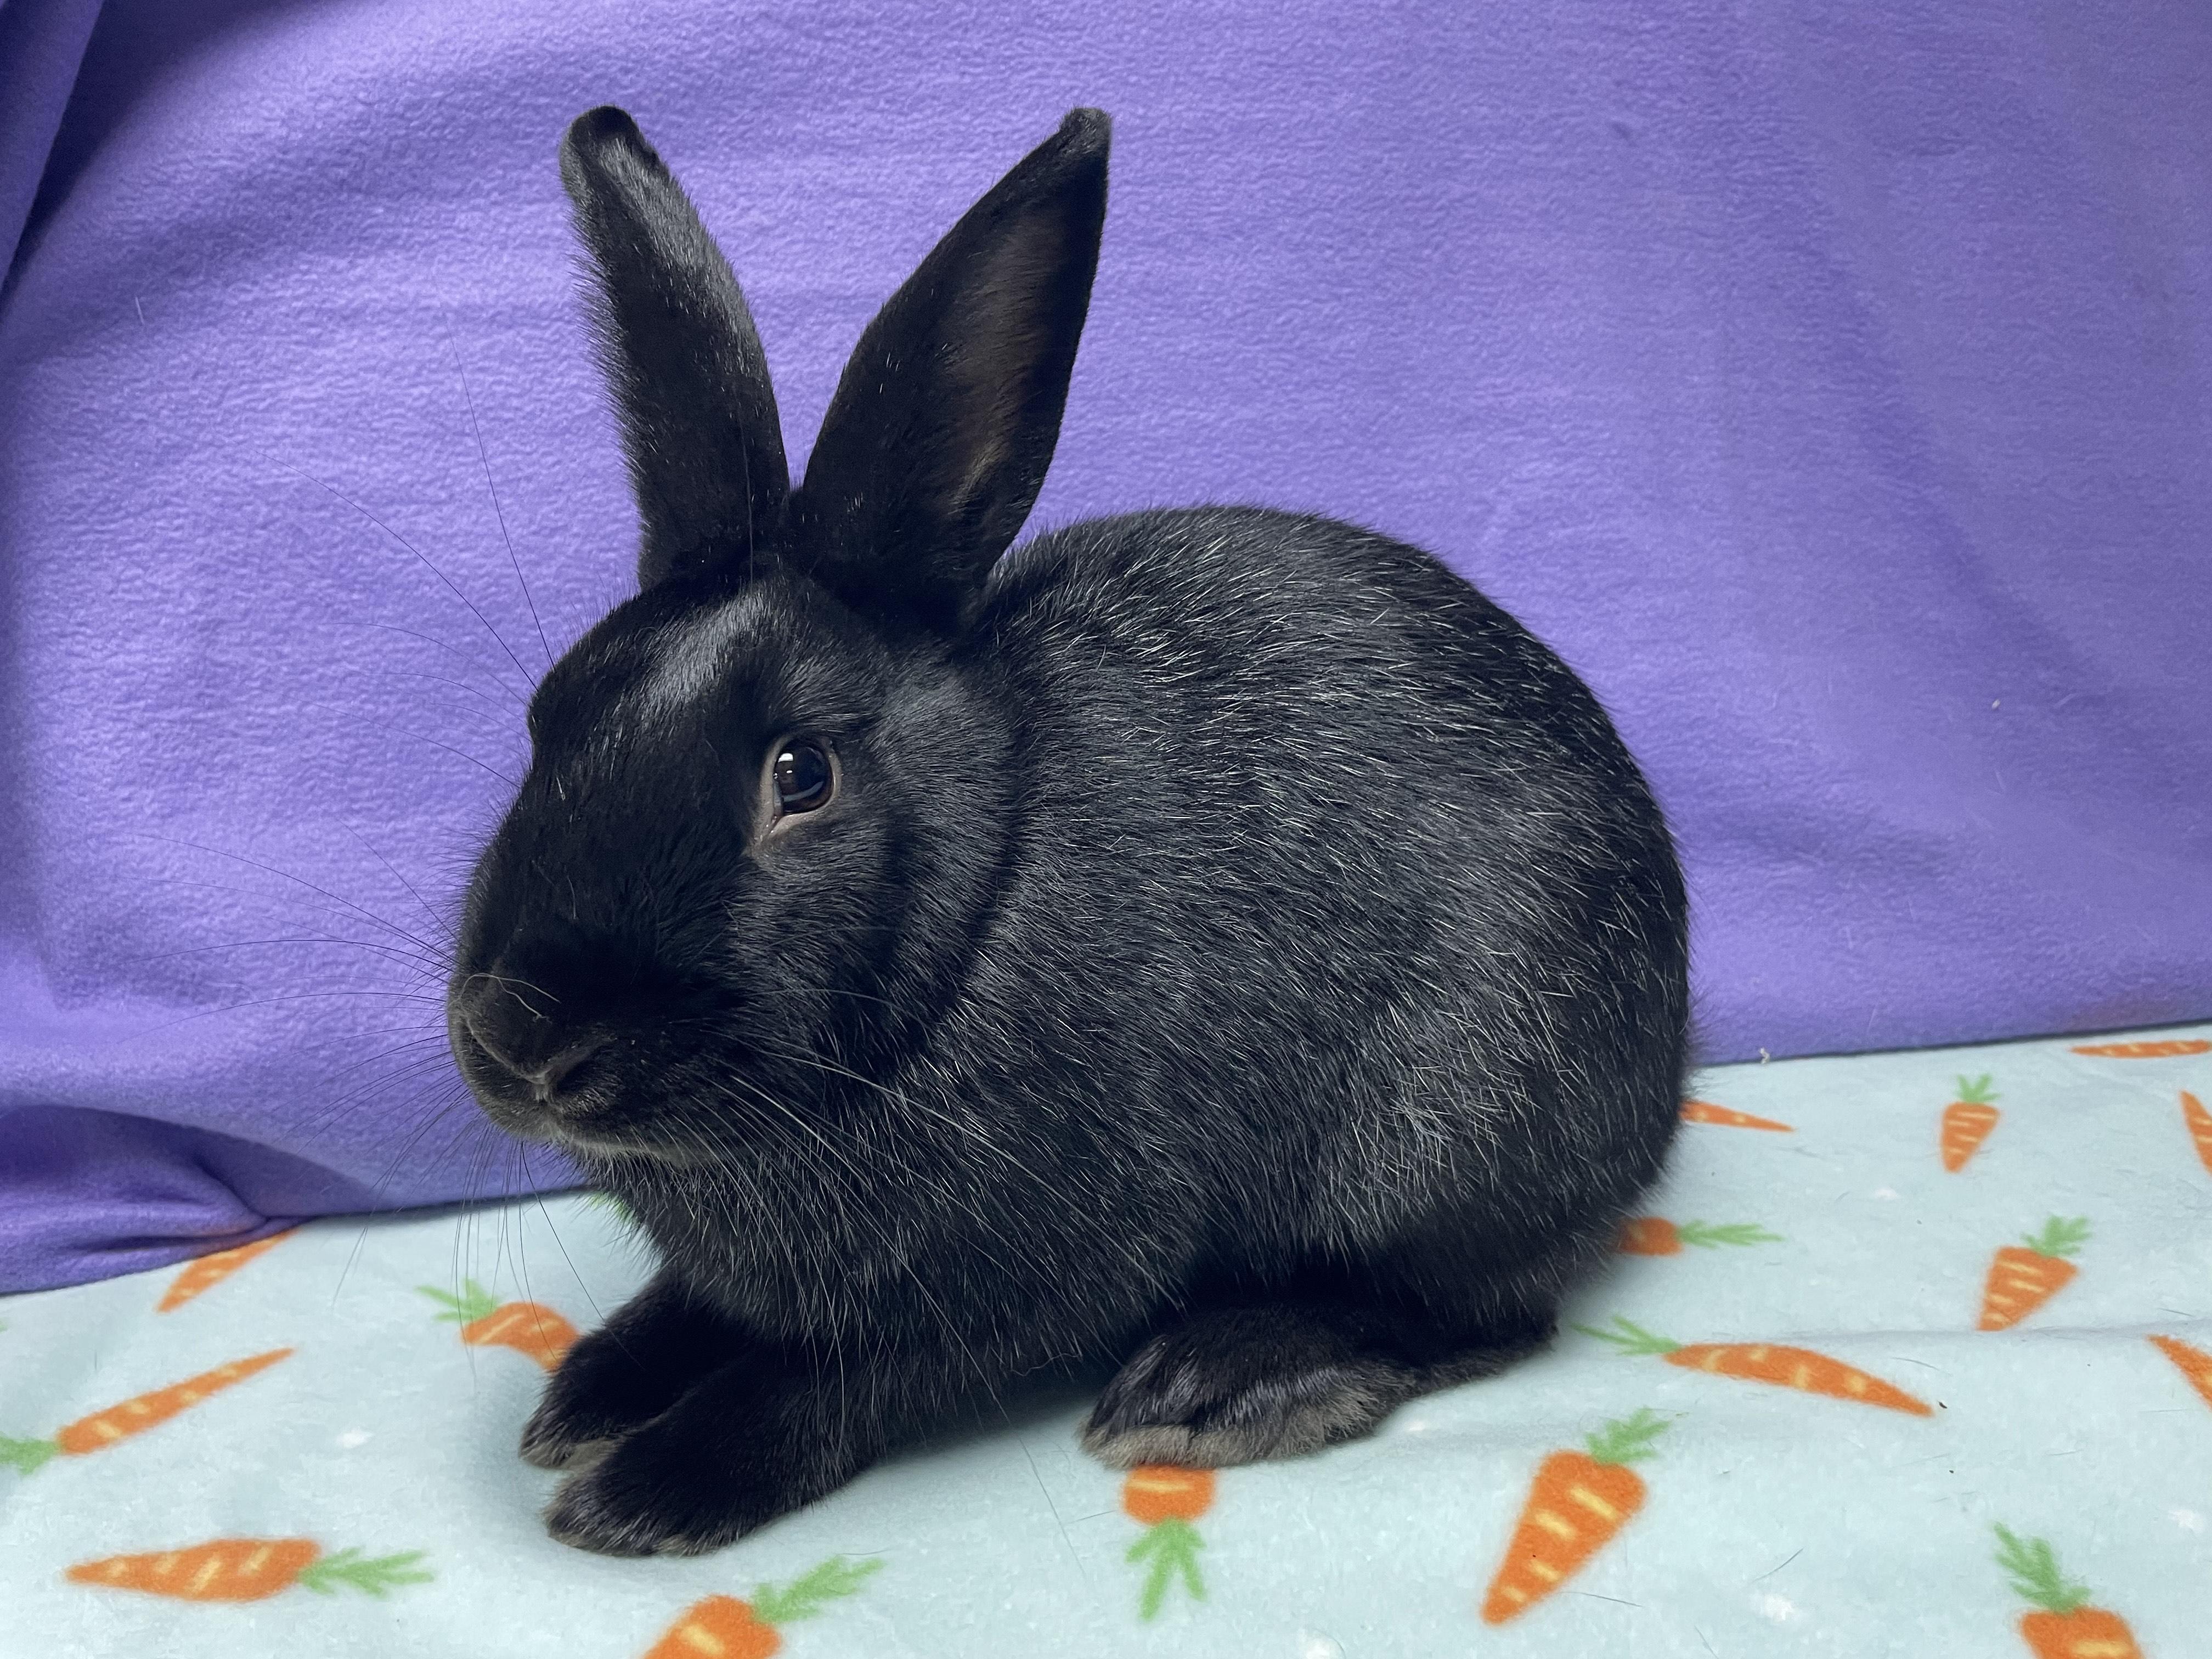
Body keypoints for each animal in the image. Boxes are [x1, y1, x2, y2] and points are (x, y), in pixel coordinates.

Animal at [446, 103, 1689, 1558]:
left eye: (800, 775)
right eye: (550, 712)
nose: (523, 1038)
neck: (972, 916)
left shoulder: (1031, 1276)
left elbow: (830, 1380)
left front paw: (646, 1489)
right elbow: (705, 1316)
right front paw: (588, 1392)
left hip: (1450, 1131)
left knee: (1474, 1313)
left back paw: (1221, 1384)